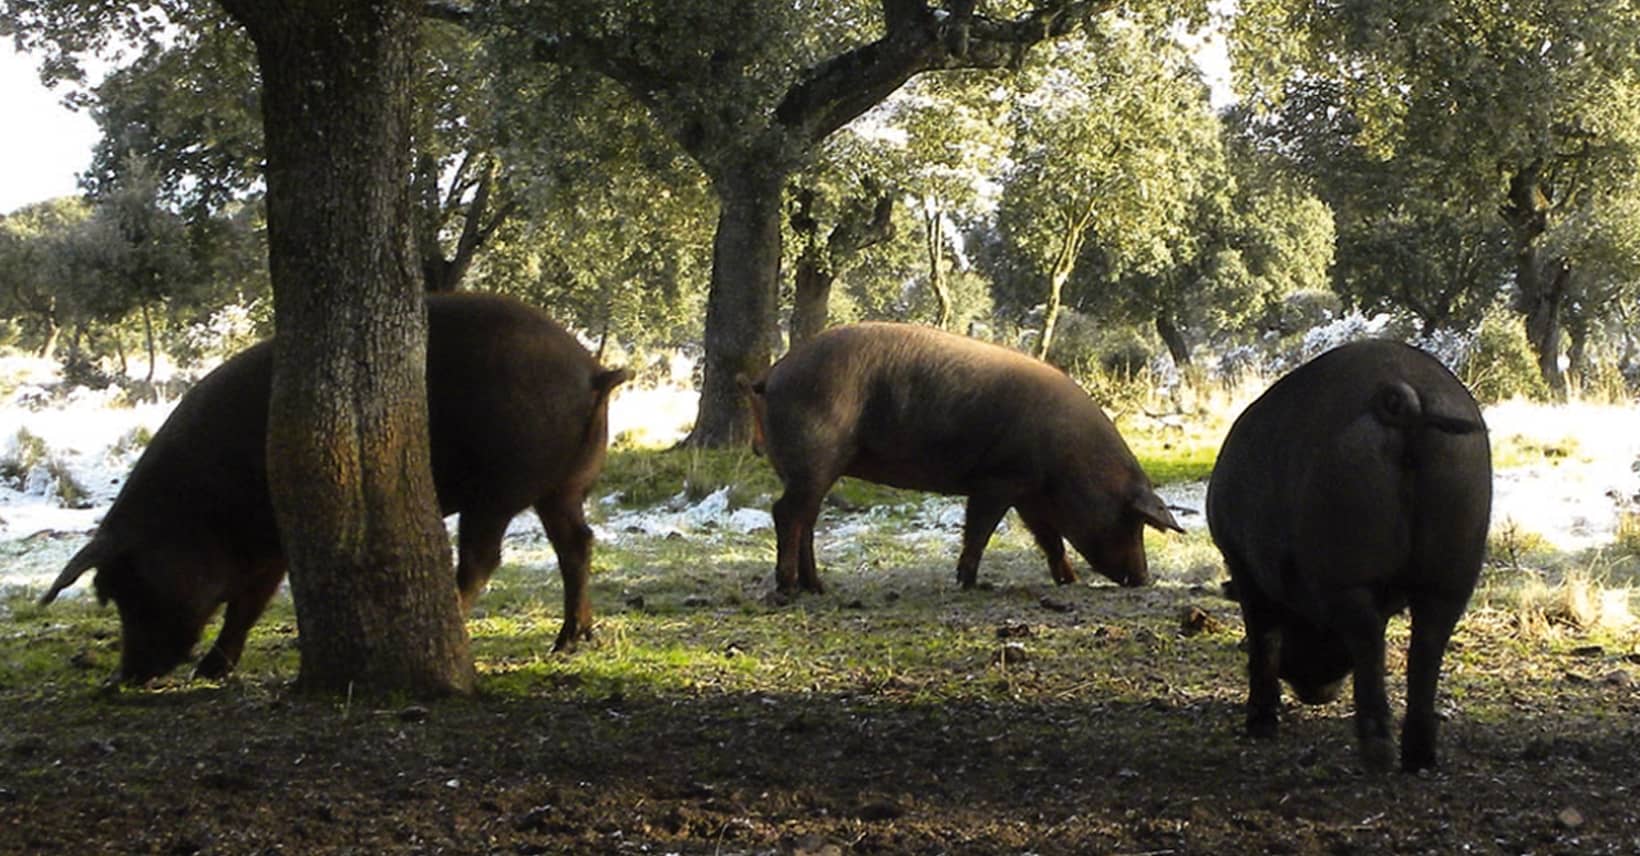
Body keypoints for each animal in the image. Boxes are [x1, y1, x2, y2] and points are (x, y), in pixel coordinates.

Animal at [39, 293, 626, 678]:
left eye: (129, 585)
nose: (124, 676)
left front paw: (209, 671)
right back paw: (568, 641)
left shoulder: (268, 541)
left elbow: (247, 603)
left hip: (499, 487)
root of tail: (593, 371)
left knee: (485, 560)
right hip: (562, 487)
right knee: (577, 543)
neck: (197, 510)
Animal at [744, 319, 1180, 593]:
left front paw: (1069, 580)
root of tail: (773, 373)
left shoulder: (1029, 493)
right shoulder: (999, 479)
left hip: (810, 469)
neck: (1073, 461)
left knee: (806, 519)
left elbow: (1049, 539)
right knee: (786, 513)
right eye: (1132, 521)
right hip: (814, 456)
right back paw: (788, 588)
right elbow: (980, 531)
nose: (1144, 578)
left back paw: (817, 587)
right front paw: (969, 582)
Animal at [1200, 336, 1495, 770]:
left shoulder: (1243, 567)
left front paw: (1260, 726)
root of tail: (1401, 396)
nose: (1315, 691)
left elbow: (1261, 639)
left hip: (1344, 555)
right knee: (1426, 645)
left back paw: (1378, 755)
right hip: (1455, 552)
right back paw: (1418, 759)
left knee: (1367, 637)